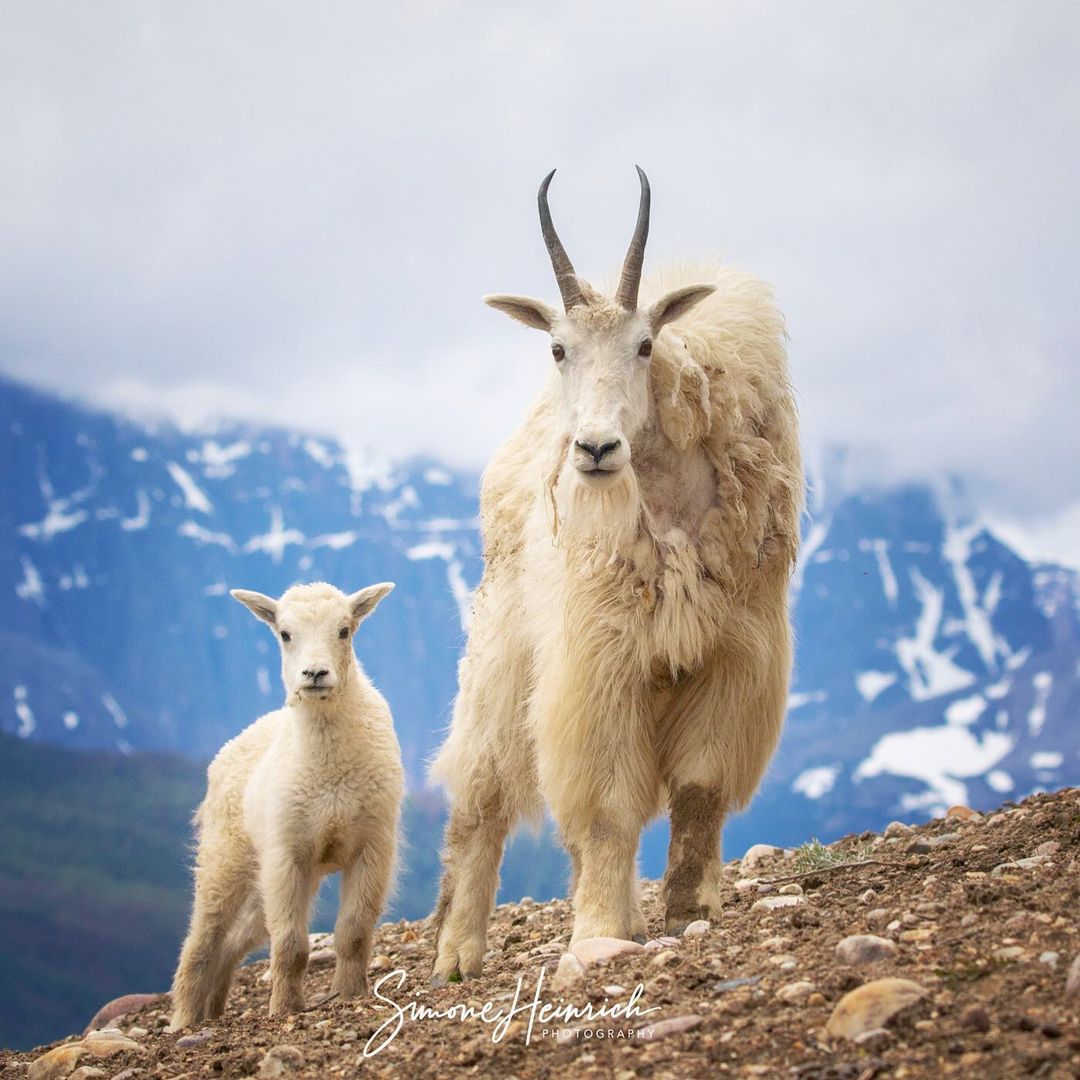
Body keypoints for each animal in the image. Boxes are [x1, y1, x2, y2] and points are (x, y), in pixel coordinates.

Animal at [429, 164, 803, 984]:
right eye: (558, 348)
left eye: (644, 344)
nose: (595, 450)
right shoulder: (600, 661)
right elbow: (603, 805)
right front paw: (596, 928)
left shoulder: (730, 657)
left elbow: (698, 788)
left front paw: (688, 908)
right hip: (503, 660)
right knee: (480, 799)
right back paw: (457, 953)